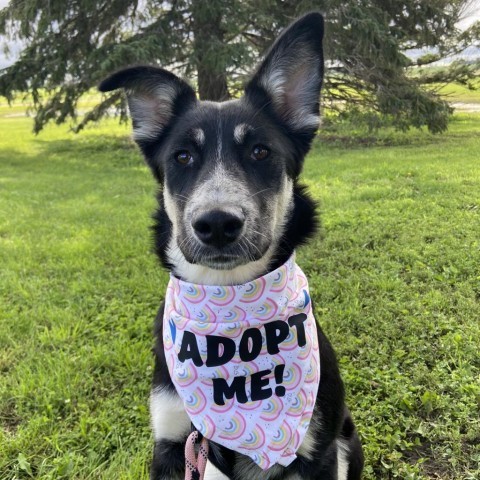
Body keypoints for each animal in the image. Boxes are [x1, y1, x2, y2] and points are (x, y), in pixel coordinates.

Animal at [100, 12, 364, 480]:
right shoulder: (173, 442)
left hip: (348, 441)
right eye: (182, 157)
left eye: (260, 151)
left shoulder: (319, 451)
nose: (217, 223)